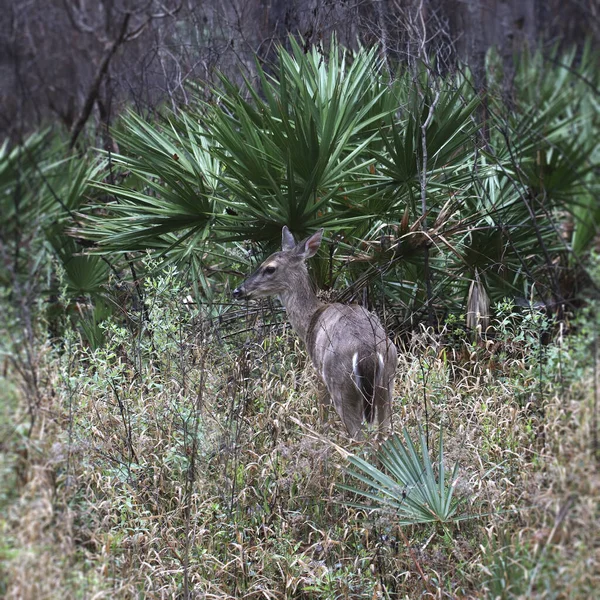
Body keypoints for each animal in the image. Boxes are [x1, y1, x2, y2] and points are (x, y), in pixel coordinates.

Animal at [232, 227, 396, 438]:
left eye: (269, 268)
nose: (238, 291)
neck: (310, 319)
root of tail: (368, 354)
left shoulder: (317, 371)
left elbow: (322, 414)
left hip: (340, 382)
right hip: (387, 382)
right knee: (385, 433)